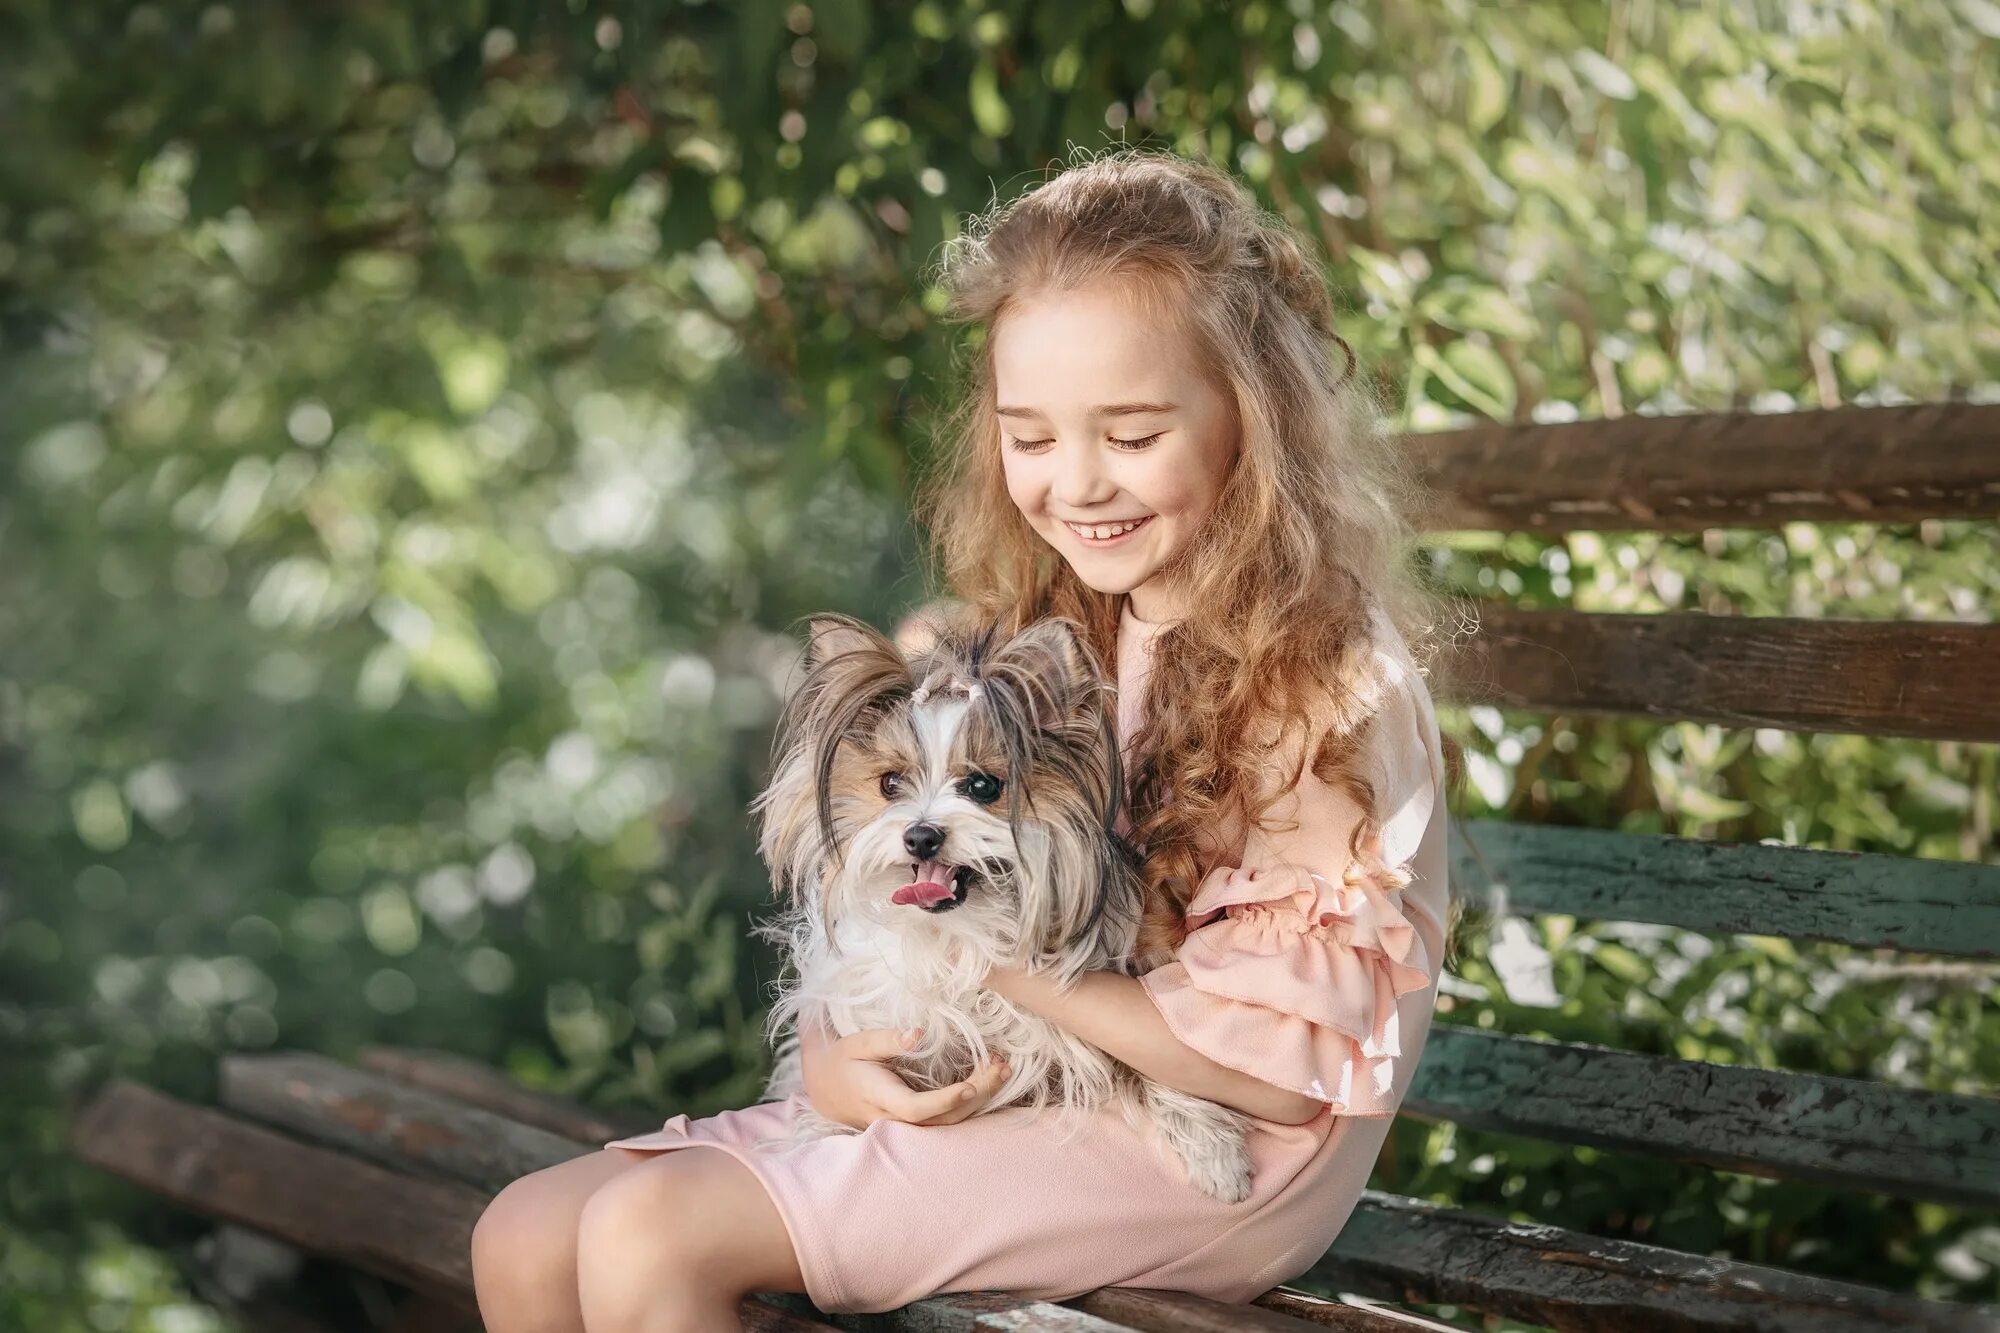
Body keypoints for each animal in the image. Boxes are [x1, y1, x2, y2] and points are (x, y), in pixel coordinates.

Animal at [748, 608, 1248, 1200]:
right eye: (890, 783)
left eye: (983, 786)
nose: (921, 837)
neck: (966, 933)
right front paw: (825, 1129)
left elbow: (1154, 1061)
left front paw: (1214, 1148)